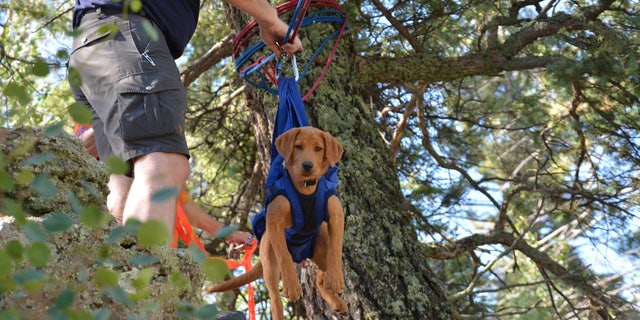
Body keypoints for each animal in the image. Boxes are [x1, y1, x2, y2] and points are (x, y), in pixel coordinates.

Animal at [208, 126, 348, 318]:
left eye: (318, 148)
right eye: (298, 146)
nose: (307, 166)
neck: (305, 188)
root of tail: (302, 255)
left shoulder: (336, 216)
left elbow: (335, 249)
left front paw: (336, 278)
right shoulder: (274, 223)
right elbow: (284, 255)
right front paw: (291, 284)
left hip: (321, 251)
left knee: (319, 280)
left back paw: (337, 301)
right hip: (269, 261)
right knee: (275, 299)